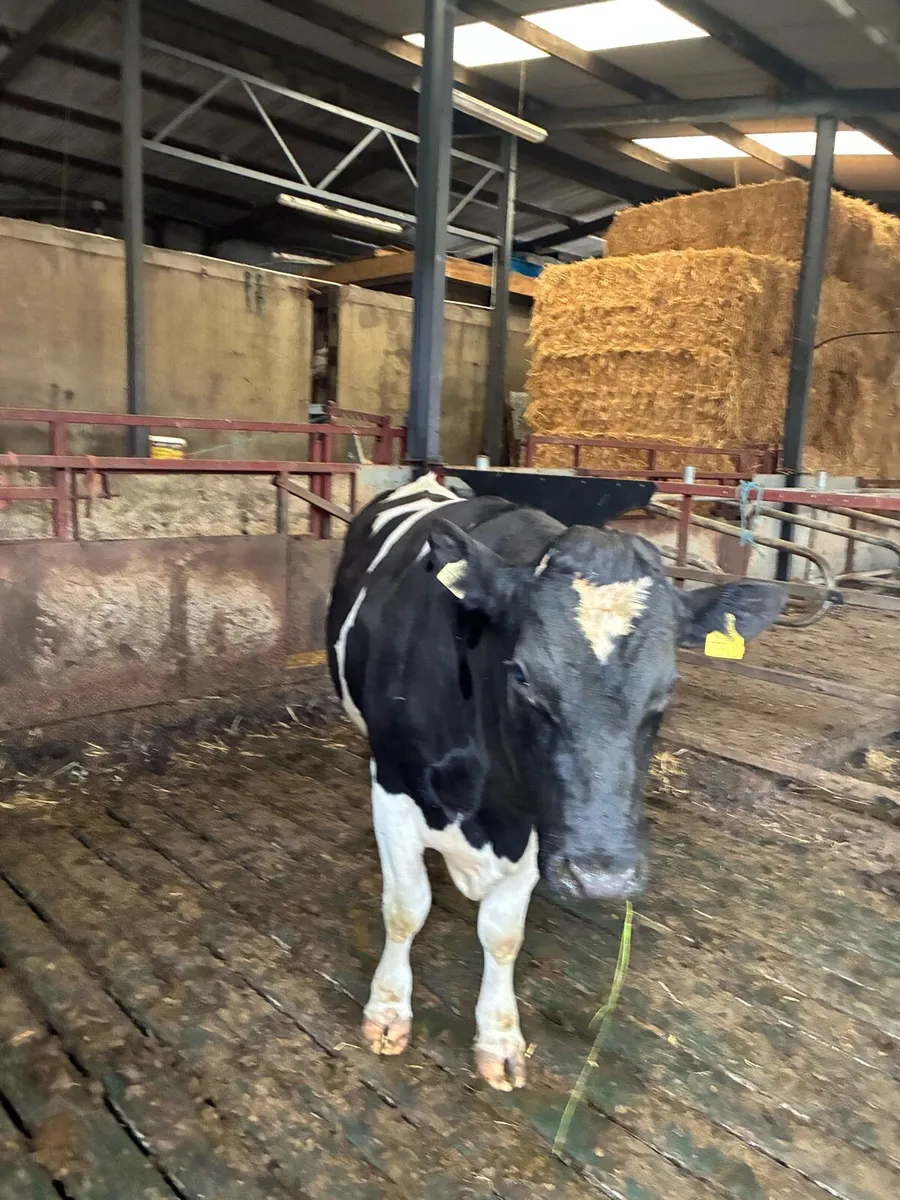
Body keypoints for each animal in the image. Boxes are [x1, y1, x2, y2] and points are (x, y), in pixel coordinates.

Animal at [326, 473, 784, 1091]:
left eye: (668, 687)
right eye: (522, 675)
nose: (603, 877)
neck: (486, 809)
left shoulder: (539, 824)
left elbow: (502, 933)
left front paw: (499, 1038)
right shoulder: (395, 787)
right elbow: (405, 906)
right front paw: (388, 1010)